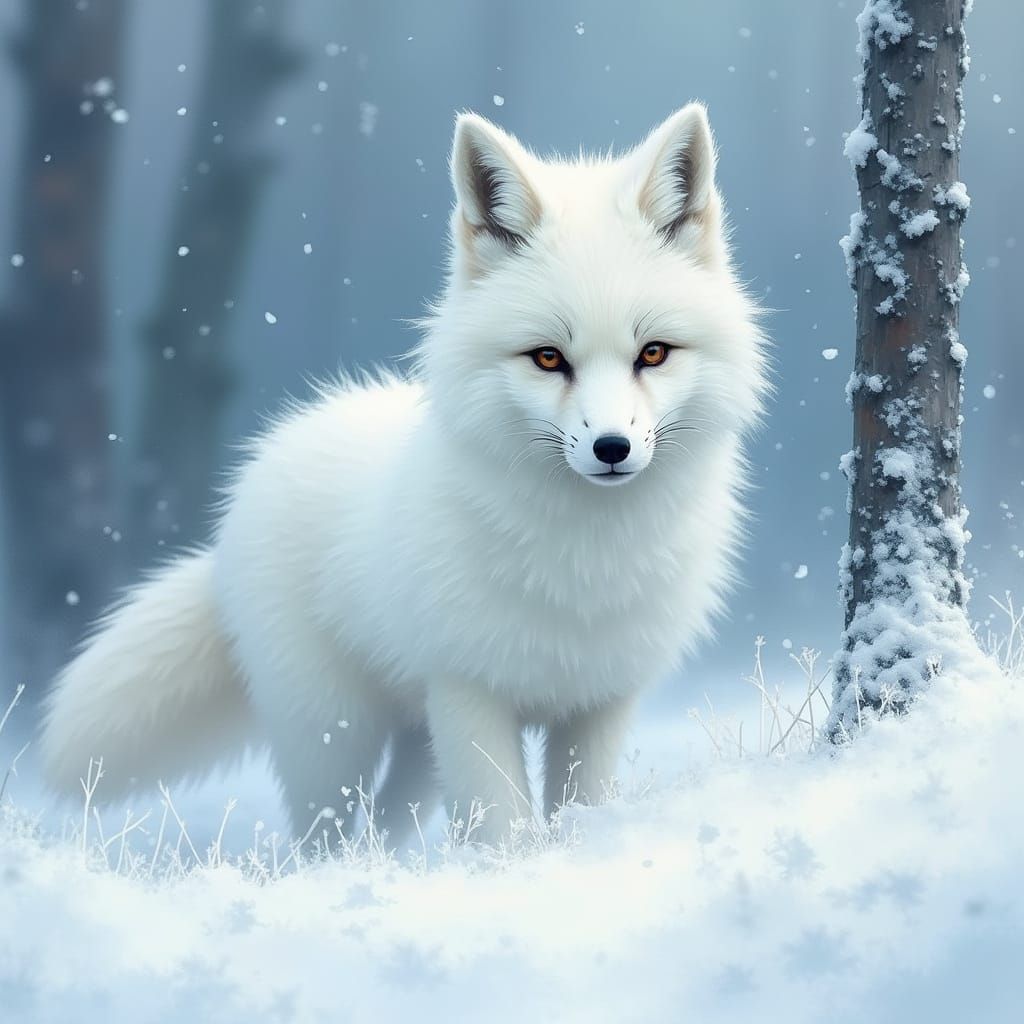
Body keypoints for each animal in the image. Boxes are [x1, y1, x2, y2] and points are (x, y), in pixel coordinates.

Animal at [40, 105, 768, 844]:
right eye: (547, 358)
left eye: (653, 353)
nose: (612, 447)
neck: (585, 562)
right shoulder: (468, 689)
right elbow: (500, 825)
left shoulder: (600, 699)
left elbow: (578, 808)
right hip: (336, 736)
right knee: (324, 835)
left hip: (417, 742)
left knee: (389, 820)